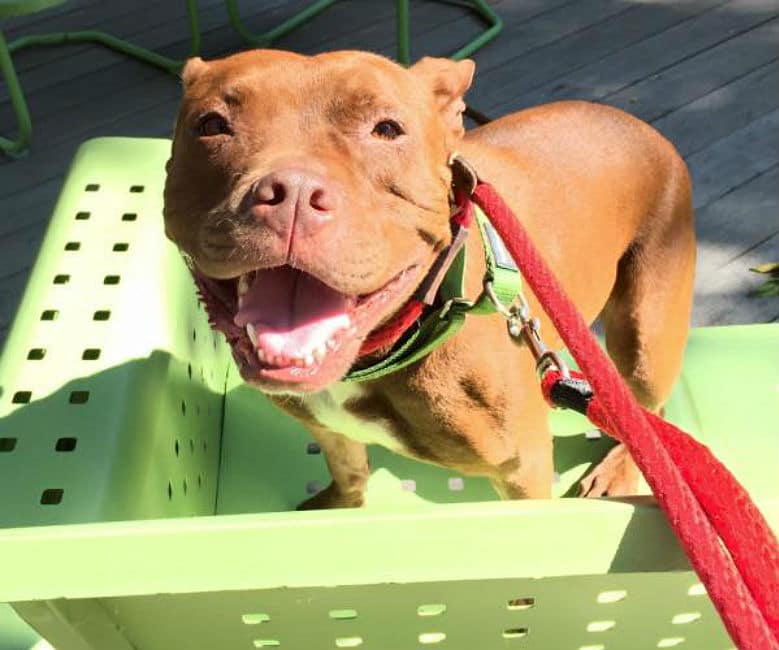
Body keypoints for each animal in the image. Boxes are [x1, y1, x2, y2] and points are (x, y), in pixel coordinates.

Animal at [163, 49, 696, 506]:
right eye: (211, 125)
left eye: (387, 129)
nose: (292, 192)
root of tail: (634, 122)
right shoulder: (326, 428)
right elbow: (349, 468)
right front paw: (340, 504)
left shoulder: (522, 471)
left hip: (646, 335)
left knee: (648, 407)